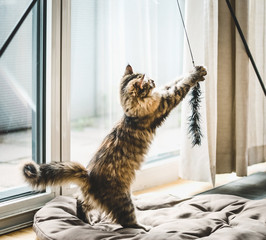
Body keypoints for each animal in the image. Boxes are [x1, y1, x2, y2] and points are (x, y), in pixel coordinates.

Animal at [22, 63, 206, 231]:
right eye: (148, 82)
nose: (154, 80)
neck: (130, 113)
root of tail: (88, 176)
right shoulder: (165, 101)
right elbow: (180, 86)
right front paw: (196, 74)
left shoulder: (161, 93)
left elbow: (173, 81)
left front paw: (195, 70)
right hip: (124, 201)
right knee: (127, 222)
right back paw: (144, 228)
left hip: (89, 199)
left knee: (80, 203)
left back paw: (89, 221)